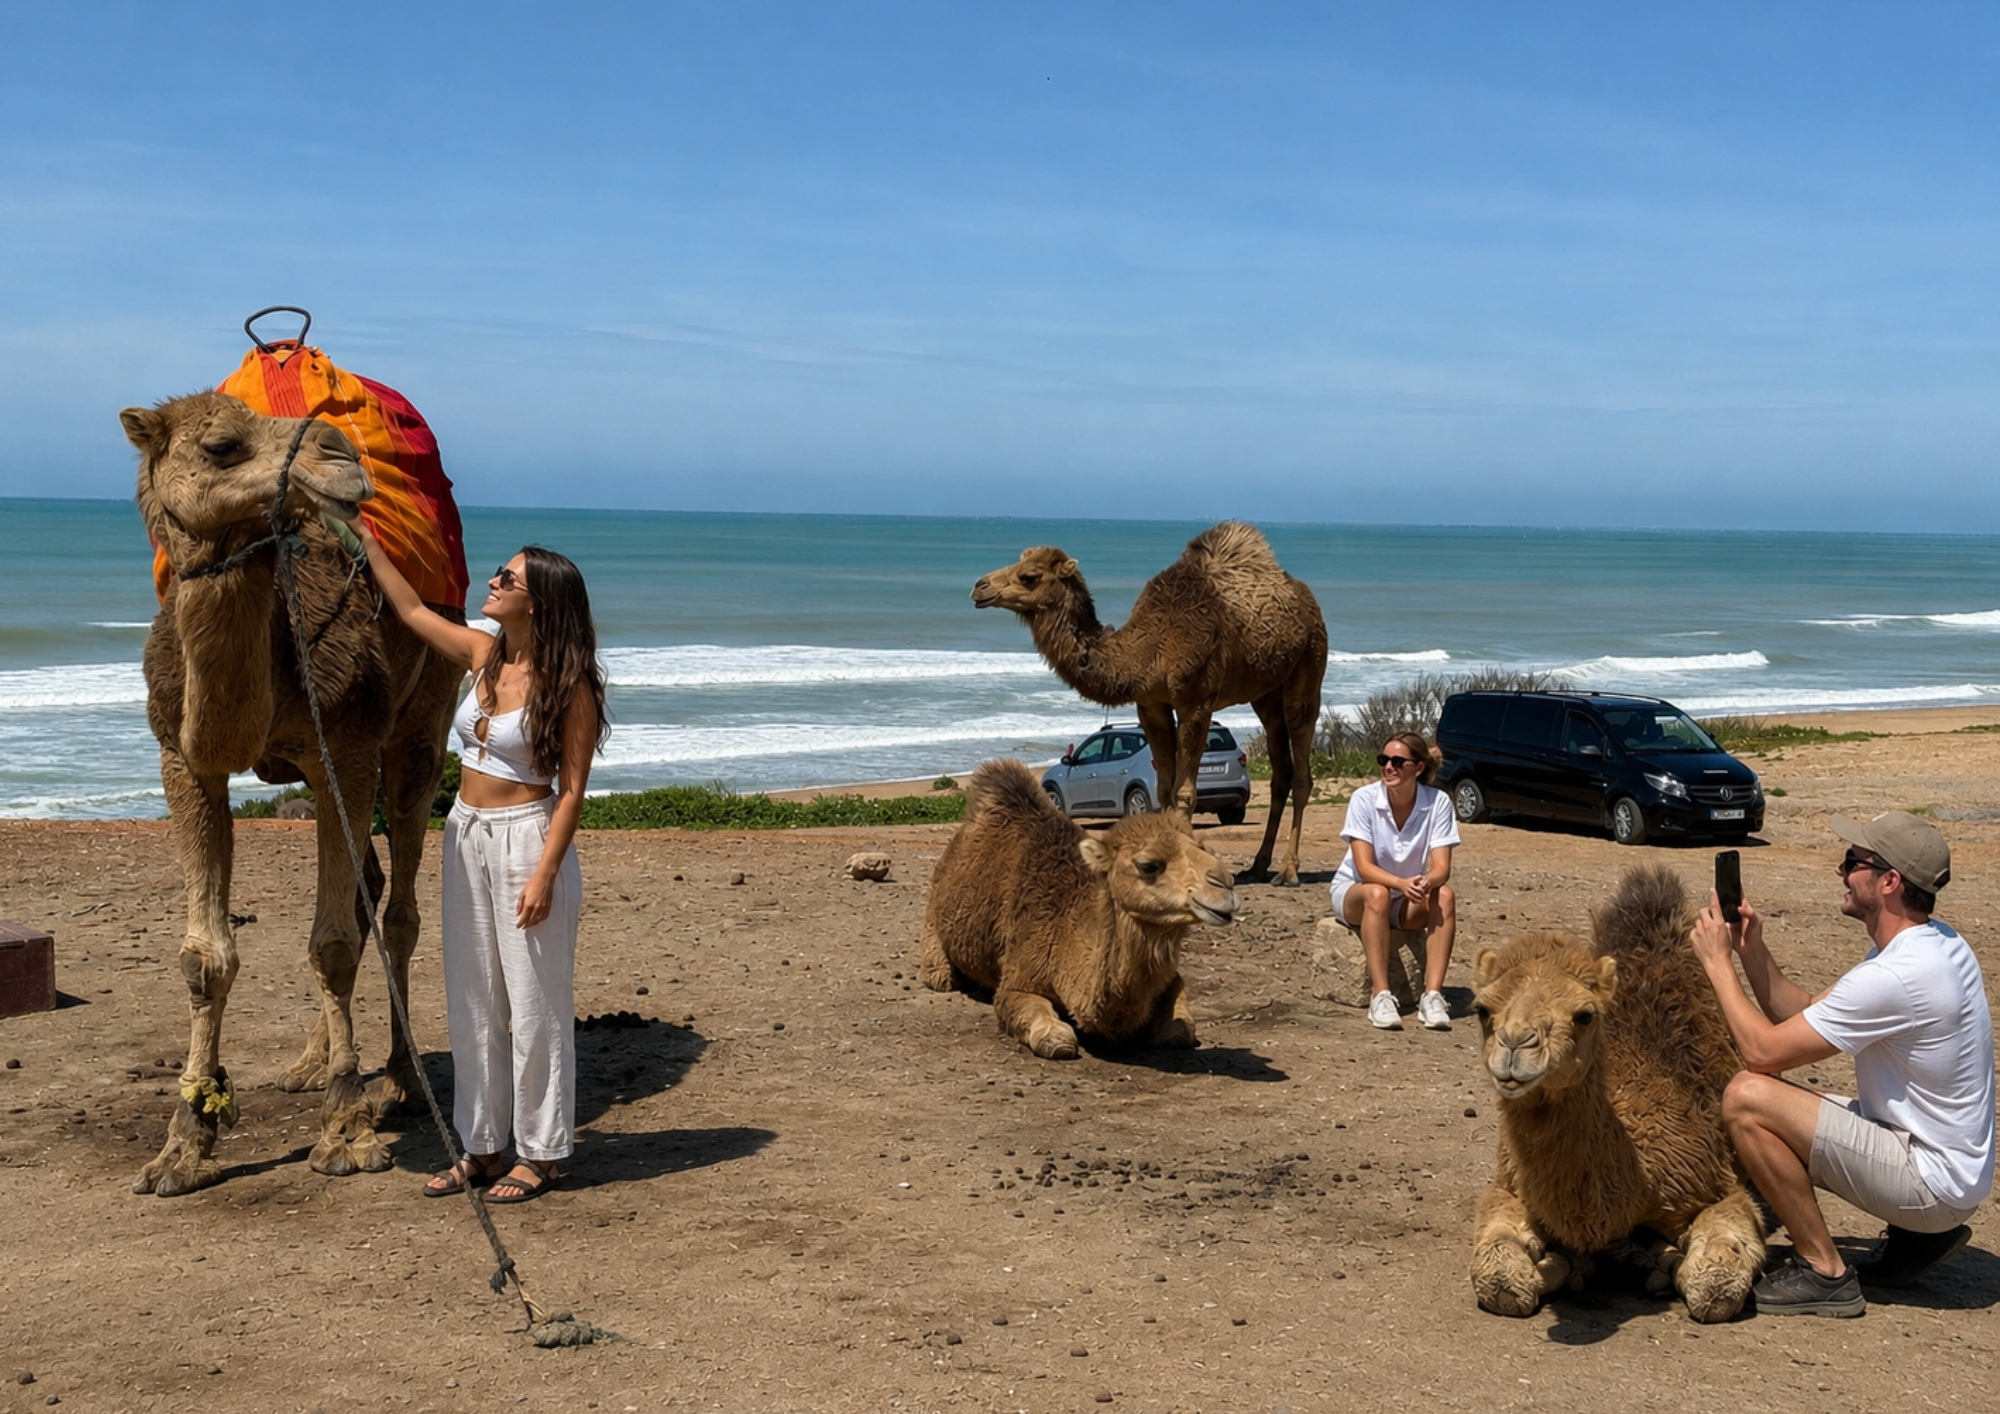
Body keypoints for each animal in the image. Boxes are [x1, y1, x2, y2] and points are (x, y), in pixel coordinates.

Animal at [120, 391, 463, 1196]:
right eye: (221, 445)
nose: (339, 454)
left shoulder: (350, 743)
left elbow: (331, 942)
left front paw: (346, 1133)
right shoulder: (183, 759)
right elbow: (205, 956)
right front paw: (183, 1144)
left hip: (421, 724)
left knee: (397, 906)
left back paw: (396, 1081)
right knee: (368, 890)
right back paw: (312, 1064)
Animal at [919, 758, 1237, 1058]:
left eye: (1204, 849)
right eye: (1149, 865)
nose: (1226, 885)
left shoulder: (1170, 980)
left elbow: (1178, 1031)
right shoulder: (1018, 978)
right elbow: (1055, 1038)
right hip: (934, 930)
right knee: (941, 976)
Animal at [971, 521, 1327, 886]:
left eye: (1029, 576)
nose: (979, 587)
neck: (1149, 650)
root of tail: (1306, 598)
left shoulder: (1196, 702)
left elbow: (1185, 793)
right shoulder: (1151, 706)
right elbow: (1165, 790)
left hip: (1311, 659)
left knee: (1301, 757)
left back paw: (1288, 871)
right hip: (1265, 693)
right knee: (1280, 767)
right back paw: (1258, 865)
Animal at [1469, 865, 1765, 1323]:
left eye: (1584, 1015)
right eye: (1482, 1010)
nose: (1516, 1045)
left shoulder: (1714, 1183)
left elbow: (1714, 1284)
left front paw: (1660, 1264)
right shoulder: (1510, 1186)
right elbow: (1499, 1275)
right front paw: (1565, 1266)